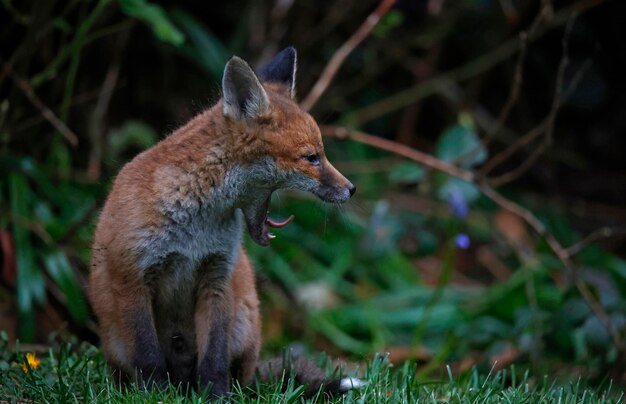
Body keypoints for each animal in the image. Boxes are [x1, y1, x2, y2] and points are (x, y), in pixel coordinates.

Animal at [88, 48, 360, 398]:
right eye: (312, 157)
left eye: (321, 154)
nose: (351, 189)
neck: (193, 228)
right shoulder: (132, 277)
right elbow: (147, 355)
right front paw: (154, 395)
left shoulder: (217, 277)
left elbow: (214, 356)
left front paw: (216, 396)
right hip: (116, 342)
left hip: (244, 324)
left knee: (240, 374)